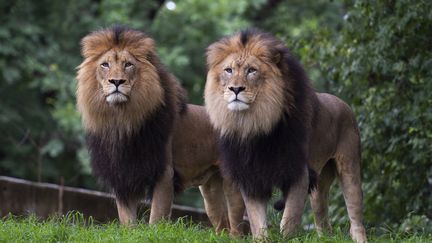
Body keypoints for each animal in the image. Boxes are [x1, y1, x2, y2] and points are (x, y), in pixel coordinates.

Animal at [76, 25, 245, 234]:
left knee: (237, 227)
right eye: (105, 65)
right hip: (210, 190)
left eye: (128, 65)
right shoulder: (123, 175)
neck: (122, 120)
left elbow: (157, 217)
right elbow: (127, 220)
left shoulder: (164, 173)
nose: (116, 81)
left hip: (232, 184)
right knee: (222, 224)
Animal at [204, 29, 366, 243]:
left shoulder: (298, 172)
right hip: (320, 182)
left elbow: (289, 219)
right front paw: (262, 239)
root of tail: (344, 103)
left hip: (349, 167)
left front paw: (287, 236)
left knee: (355, 216)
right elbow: (257, 221)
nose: (236, 89)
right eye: (228, 70)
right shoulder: (251, 176)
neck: (254, 125)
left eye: (252, 70)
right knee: (322, 220)